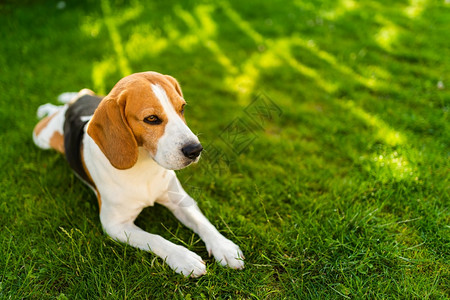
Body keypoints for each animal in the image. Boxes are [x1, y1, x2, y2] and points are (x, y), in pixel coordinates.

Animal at [33, 71, 244, 278]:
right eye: (151, 118)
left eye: (182, 108)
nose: (195, 150)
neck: (144, 166)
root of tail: (75, 102)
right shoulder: (115, 225)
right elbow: (155, 238)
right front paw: (183, 258)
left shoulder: (181, 200)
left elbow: (202, 222)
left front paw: (224, 247)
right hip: (40, 137)